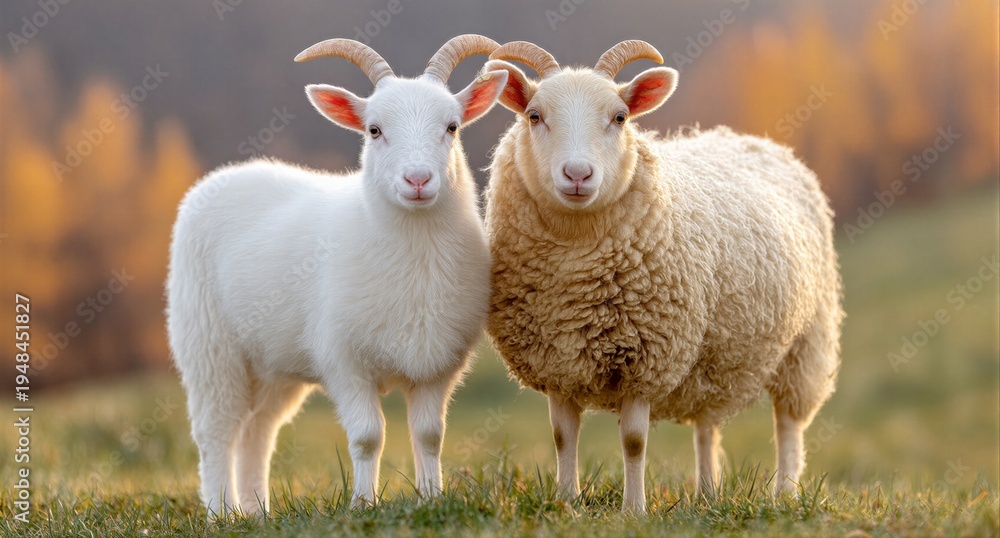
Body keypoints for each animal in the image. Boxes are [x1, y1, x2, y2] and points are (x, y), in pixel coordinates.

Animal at [166, 35, 508, 517]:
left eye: (453, 127)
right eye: (374, 130)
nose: (418, 180)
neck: (414, 256)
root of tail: (224, 175)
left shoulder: (436, 365)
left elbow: (428, 436)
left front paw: (431, 498)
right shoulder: (345, 362)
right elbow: (367, 438)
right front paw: (363, 504)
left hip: (272, 365)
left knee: (258, 431)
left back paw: (257, 512)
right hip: (209, 348)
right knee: (216, 432)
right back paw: (220, 512)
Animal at [482, 40, 843, 513]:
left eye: (620, 117)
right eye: (534, 116)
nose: (578, 174)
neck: (574, 270)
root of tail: (749, 139)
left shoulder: (647, 357)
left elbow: (634, 442)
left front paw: (634, 510)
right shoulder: (557, 362)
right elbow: (562, 437)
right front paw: (565, 502)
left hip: (806, 342)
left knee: (789, 423)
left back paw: (784, 492)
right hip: (711, 359)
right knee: (707, 424)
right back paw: (707, 494)